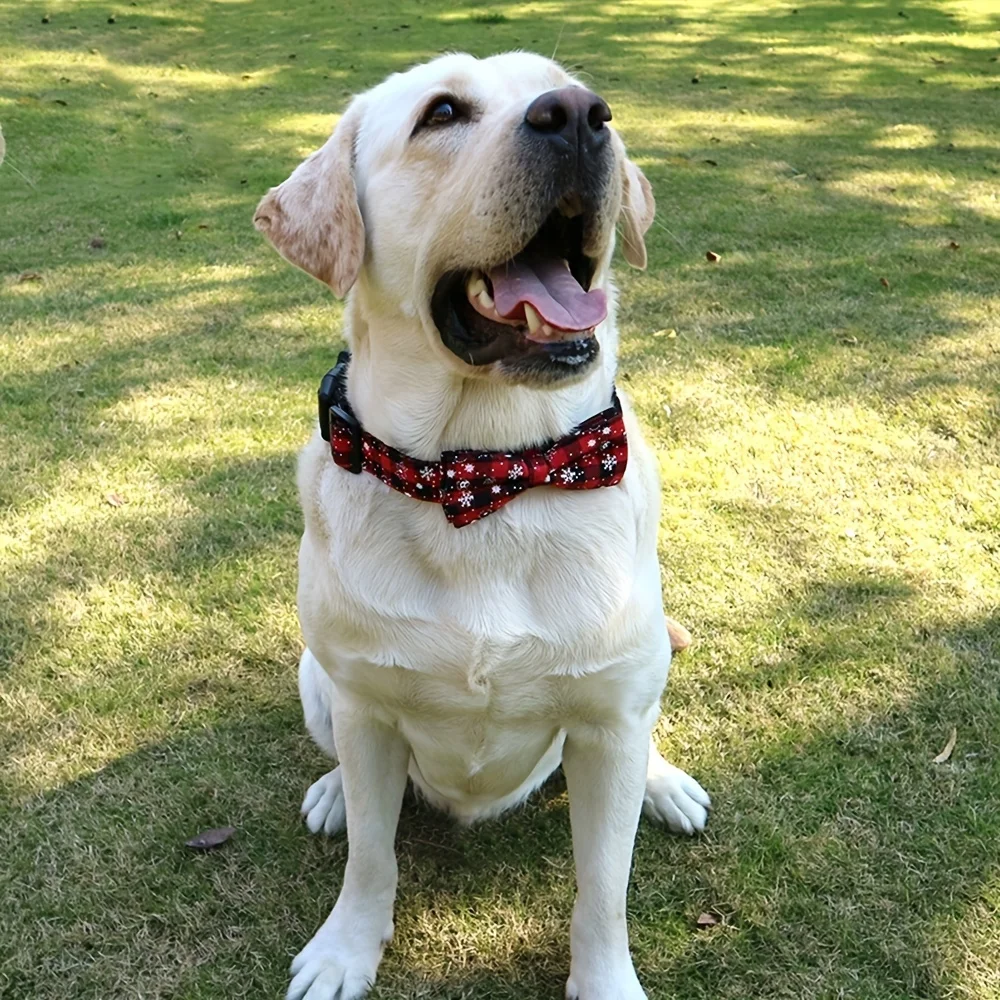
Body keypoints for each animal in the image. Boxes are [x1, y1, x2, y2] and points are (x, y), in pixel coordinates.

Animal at [258, 52, 712, 1000]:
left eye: (576, 90)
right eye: (441, 113)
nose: (578, 116)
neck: (486, 472)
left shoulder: (608, 721)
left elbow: (602, 889)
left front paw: (605, 980)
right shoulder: (365, 711)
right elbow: (372, 857)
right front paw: (345, 949)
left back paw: (664, 784)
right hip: (319, 680)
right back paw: (331, 793)